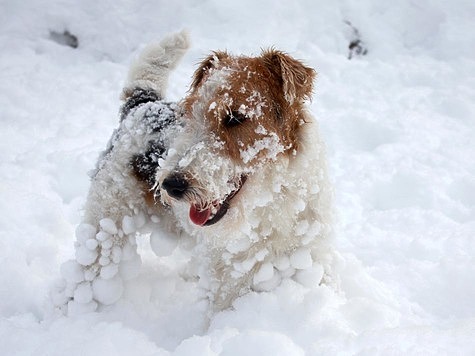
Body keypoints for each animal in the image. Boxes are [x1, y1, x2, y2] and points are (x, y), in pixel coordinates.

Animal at [55, 30, 336, 314]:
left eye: (235, 117)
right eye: (190, 112)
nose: (172, 185)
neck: (272, 199)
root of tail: (142, 105)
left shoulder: (310, 259)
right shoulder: (231, 284)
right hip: (106, 222)